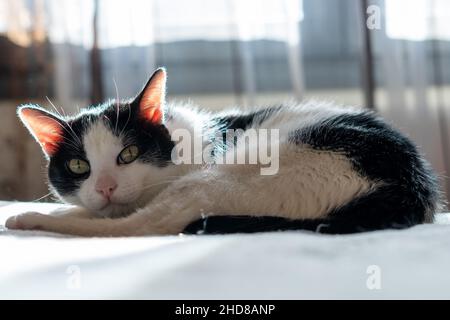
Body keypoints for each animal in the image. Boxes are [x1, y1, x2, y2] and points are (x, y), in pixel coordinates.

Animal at [5, 67, 442, 236]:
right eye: (79, 166)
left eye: (127, 154)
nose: (106, 188)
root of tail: (409, 187)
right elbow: (91, 209)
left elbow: (108, 217)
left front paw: (40, 213)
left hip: (239, 171)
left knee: (144, 226)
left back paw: (29, 220)